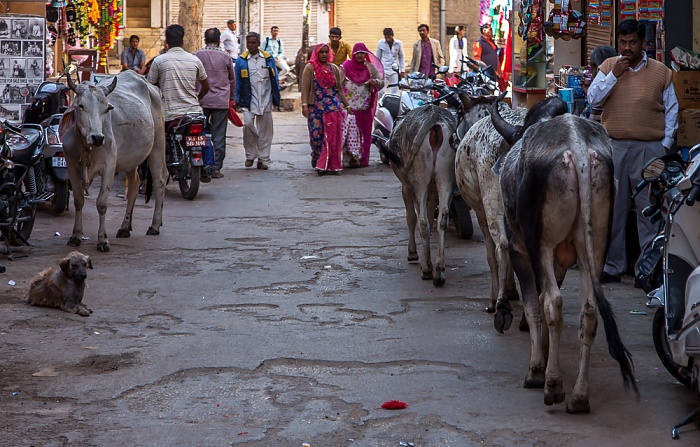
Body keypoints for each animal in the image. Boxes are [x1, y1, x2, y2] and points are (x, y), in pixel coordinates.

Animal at [58, 69, 166, 252]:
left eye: (106, 108)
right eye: (81, 106)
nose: (97, 137)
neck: (86, 148)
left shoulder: (109, 166)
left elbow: (102, 204)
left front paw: (103, 240)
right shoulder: (71, 167)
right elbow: (78, 201)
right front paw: (76, 236)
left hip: (158, 145)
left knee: (159, 180)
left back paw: (155, 225)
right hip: (130, 159)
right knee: (134, 185)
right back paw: (125, 227)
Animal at [490, 96, 636, 414]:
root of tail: (578, 147)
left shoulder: (520, 249)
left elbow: (534, 307)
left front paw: (537, 367)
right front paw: (545, 354)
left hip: (540, 244)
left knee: (553, 303)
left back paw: (553, 386)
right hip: (595, 247)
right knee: (589, 311)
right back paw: (579, 397)